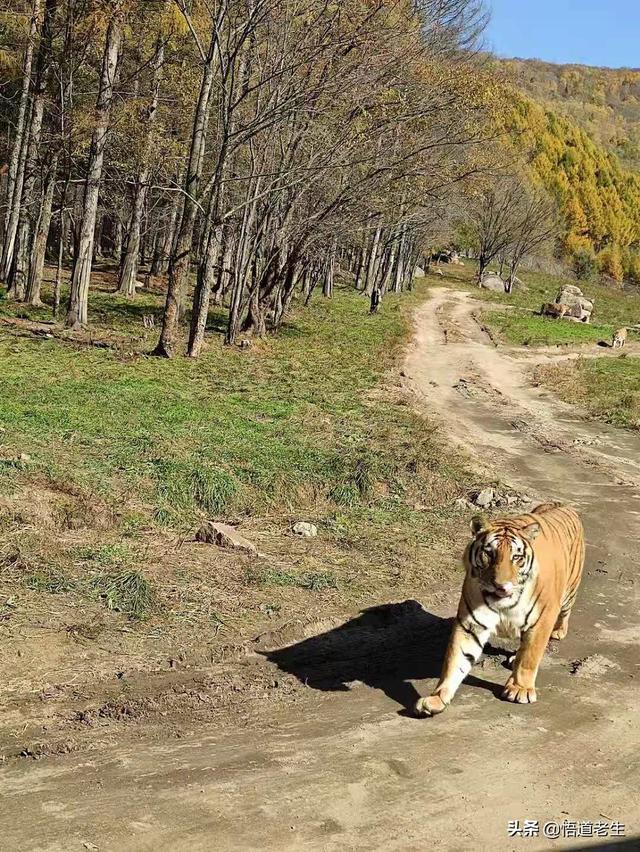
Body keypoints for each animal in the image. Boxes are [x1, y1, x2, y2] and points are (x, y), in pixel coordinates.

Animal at [416, 502, 584, 716]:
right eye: (489, 553)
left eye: (517, 557)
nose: (501, 586)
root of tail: (560, 504)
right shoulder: (471, 623)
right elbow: (455, 660)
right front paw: (437, 699)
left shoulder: (542, 618)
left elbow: (529, 657)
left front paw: (520, 690)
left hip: (569, 593)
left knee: (564, 614)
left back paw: (558, 632)